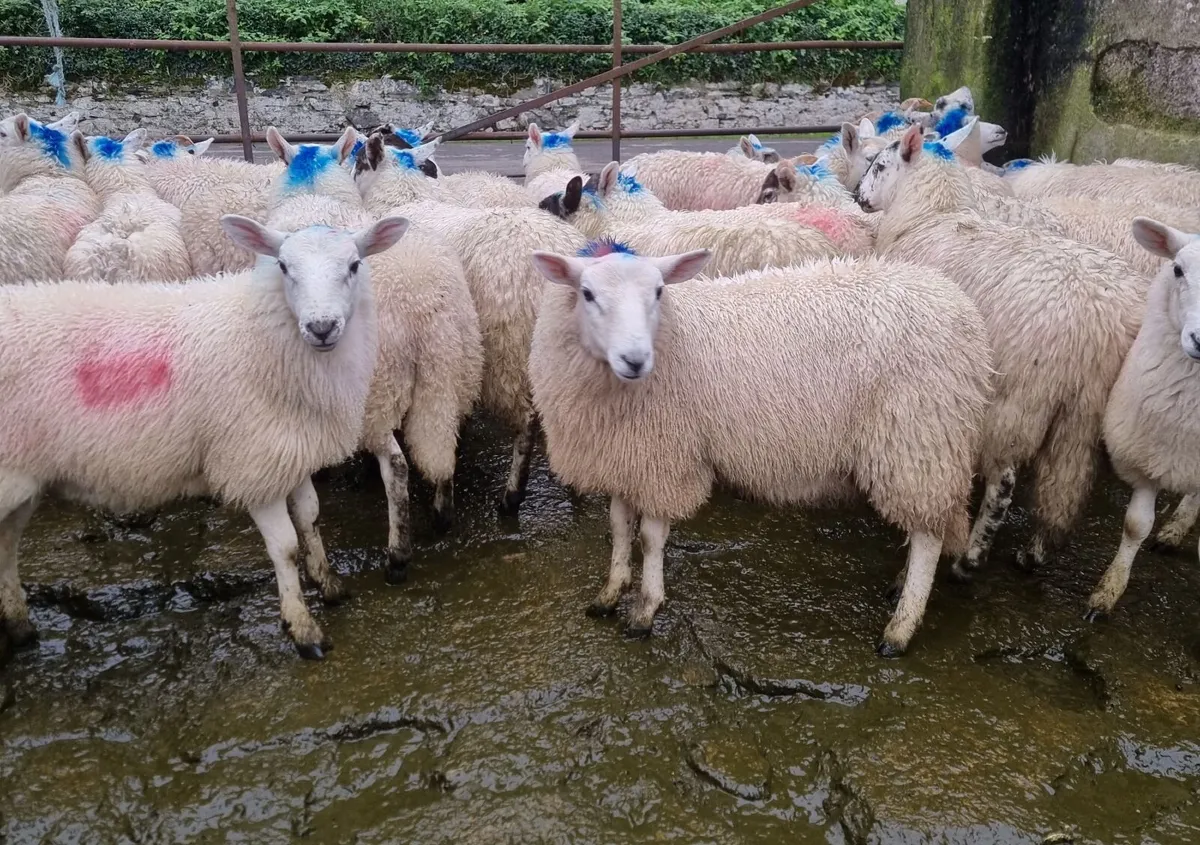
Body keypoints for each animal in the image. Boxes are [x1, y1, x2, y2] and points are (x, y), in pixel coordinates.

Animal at [0, 213, 408, 658]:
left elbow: (310, 517)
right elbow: (284, 547)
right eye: (283, 266)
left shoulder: (289, 448)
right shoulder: (252, 460)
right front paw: (303, 628)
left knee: (6, 543)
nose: (321, 327)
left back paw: (19, 628)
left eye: (354, 265)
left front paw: (328, 583)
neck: (258, 333)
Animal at [267, 128, 483, 581]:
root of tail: (422, 304)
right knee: (444, 442)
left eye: (359, 163)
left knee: (397, 465)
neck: (312, 193)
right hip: (454, 369)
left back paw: (397, 555)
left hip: (377, 387)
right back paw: (441, 514)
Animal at [527, 244, 992, 655]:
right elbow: (620, 527)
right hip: (924, 444)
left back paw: (900, 629)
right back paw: (899, 585)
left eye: (659, 291)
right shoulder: (624, 456)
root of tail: (960, 306)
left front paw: (645, 609)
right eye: (587, 294)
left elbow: (651, 538)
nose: (635, 359)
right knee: (926, 522)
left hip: (917, 436)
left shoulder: (667, 458)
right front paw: (610, 592)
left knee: (928, 537)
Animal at [859, 124, 1146, 577]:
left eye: (881, 166)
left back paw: (972, 558)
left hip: (1021, 397)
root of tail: (1098, 322)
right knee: (1066, 481)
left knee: (1006, 482)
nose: (859, 196)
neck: (929, 215)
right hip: (1085, 405)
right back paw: (1035, 553)